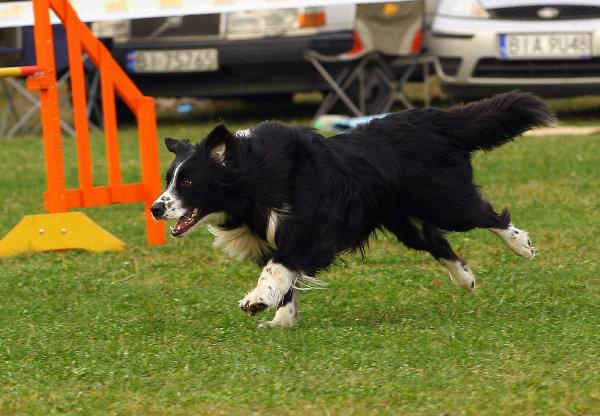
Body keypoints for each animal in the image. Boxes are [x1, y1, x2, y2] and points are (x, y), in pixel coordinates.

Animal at [150, 92, 552, 328]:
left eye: (188, 182)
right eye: (170, 179)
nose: (155, 208)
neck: (252, 176)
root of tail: (437, 121)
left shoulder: (309, 228)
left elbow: (276, 268)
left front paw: (256, 301)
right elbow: (285, 278)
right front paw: (282, 320)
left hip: (444, 200)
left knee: (487, 215)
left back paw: (522, 246)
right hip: (404, 219)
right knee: (437, 242)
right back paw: (465, 278)